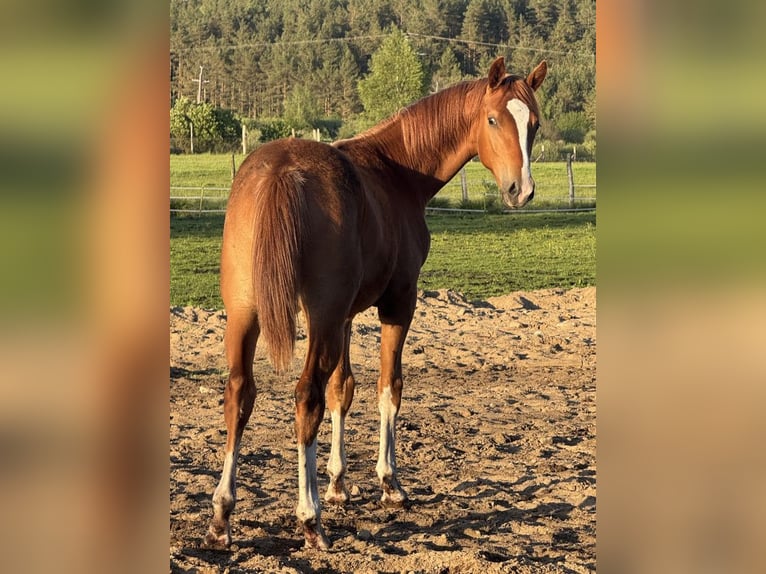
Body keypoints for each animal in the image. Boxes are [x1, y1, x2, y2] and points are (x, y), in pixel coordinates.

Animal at [203, 56, 547, 550]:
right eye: (493, 119)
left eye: (533, 124)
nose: (521, 190)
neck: (398, 172)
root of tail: (280, 173)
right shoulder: (398, 304)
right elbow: (389, 387)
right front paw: (389, 483)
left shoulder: (345, 317)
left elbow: (342, 390)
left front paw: (338, 483)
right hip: (321, 317)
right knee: (304, 396)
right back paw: (310, 518)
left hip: (247, 314)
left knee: (239, 394)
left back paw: (222, 515)